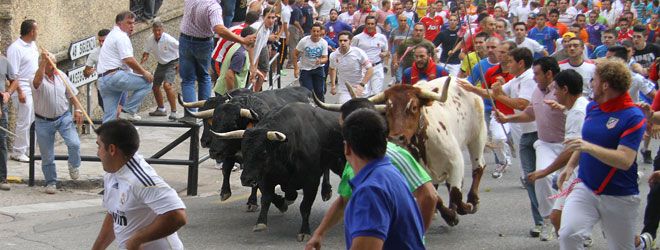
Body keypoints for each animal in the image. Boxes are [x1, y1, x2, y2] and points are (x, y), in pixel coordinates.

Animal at [214, 102, 346, 241]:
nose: (246, 179)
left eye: (263, 152)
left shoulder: (311, 181)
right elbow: (267, 198)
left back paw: (327, 192)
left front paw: (304, 232)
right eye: (243, 151)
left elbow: (305, 206)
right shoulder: (265, 178)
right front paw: (262, 221)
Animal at [374, 77, 488, 226]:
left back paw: (473, 200)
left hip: (478, 136)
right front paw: (450, 215)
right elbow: (437, 198)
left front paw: (464, 208)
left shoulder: (456, 161)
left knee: (479, 167)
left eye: (414, 107)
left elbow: (456, 194)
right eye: (388, 109)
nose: (395, 138)